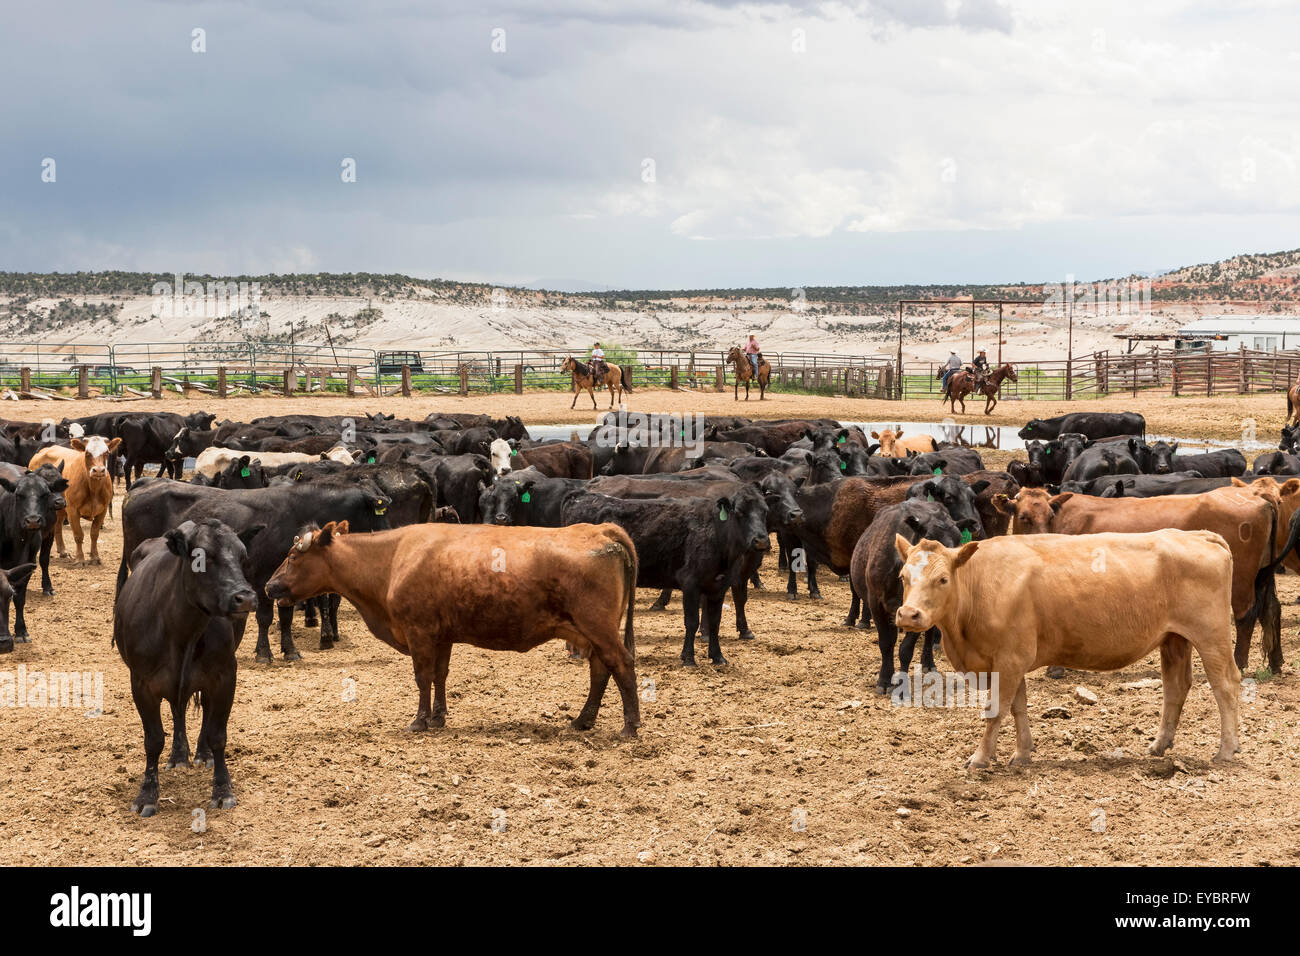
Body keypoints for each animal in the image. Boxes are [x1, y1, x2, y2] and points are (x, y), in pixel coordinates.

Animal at [114, 520, 261, 816]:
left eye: (243, 557)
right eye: (201, 558)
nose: (245, 598)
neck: (181, 630)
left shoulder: (225, 675)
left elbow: (217, 734)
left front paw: (222, 790)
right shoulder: (141, 684)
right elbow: (153, 739)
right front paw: (147, 795)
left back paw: (201, 755)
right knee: (177, 710)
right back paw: (179, 756)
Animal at [266, 520, 642, 738]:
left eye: (294, 556)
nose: (269, 586)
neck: (393, 558)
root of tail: (599, 529)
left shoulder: (418, 632)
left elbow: (422, 676)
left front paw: (419, 721)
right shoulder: (441, 635)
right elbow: (439, 676)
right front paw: (438, 717)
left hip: (599, 627)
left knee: (621, 665)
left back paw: (630, 726)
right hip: (592, 632)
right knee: (600, 670)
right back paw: (582, 721)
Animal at [894, 530, 1237, 770]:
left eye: (942, 579)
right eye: (903, 577)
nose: (909, 615)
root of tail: (1197, 534)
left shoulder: (1009, 659)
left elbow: (996, 709)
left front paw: (979, 758)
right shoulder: (1012, 660)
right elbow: (1018, 707)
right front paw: (1022, 753)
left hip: (1213, 638)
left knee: (1226, 686)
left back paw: (1226, 749)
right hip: (1174, 640)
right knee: (1175, 687)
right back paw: (1158, 745)